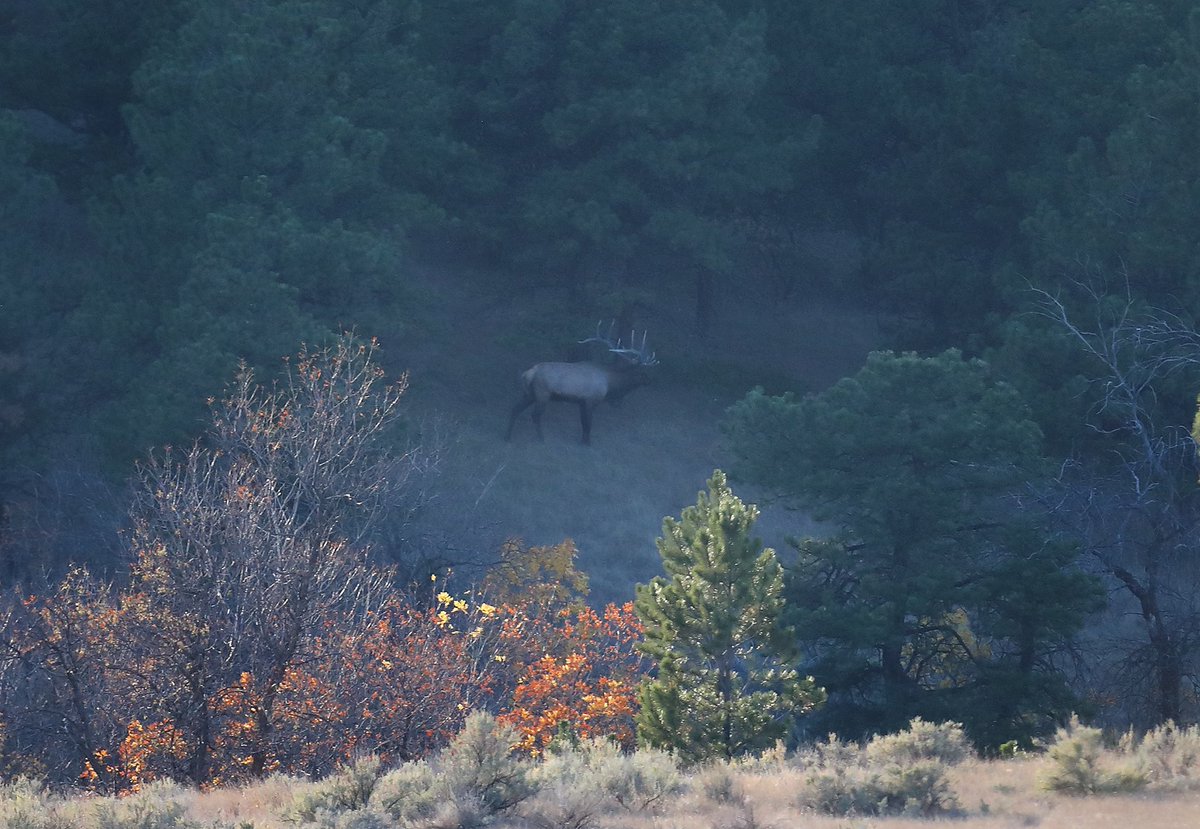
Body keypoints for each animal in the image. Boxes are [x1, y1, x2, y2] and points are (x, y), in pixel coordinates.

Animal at [505, 322, 658, 445]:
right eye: (642, 373)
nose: (651, 380)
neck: (610, 384)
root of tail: (528, 373)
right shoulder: (591, 400)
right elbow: (588, 424)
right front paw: (587, 443)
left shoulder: (581, 402)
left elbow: (583, 422)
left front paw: (583, 441)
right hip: (542, 393)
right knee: (535, 416)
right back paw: (541, 439)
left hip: (529, 394)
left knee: (514, 409)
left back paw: (507, 436)